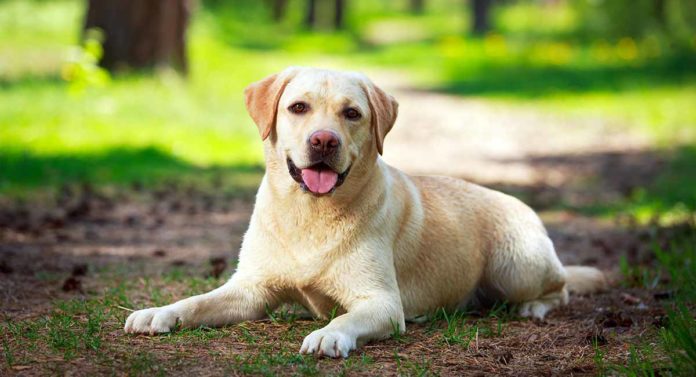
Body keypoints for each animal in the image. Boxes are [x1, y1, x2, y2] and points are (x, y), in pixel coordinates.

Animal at [125, 66, 608, 356]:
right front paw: (159, 312)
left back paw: (534, 308)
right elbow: (197, 301)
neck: (310, 214)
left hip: (516, 267)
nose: (324, 140)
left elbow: (346, 315)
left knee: (561, 287)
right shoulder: (250, 290)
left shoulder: (381, 302)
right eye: (297, 107)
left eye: (352, 113)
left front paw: (328, 333)